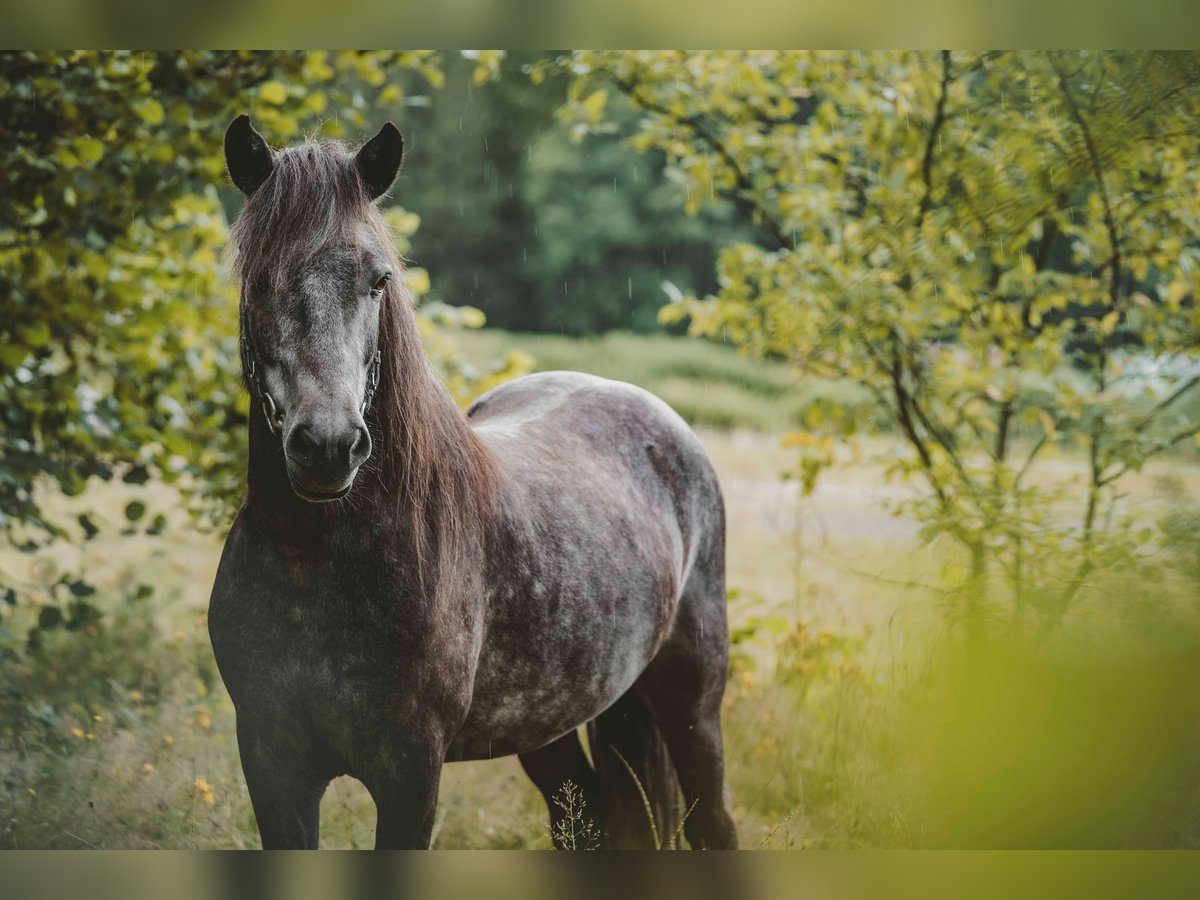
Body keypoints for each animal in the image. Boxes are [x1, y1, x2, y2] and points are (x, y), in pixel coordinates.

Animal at [210, 116, 734, 849]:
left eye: (379, 280)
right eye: (258, 278)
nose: (329, 447)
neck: (315, 561)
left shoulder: (411, 773)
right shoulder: (271, 763)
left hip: (692, 707)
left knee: (715, 821)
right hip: (554, 725)